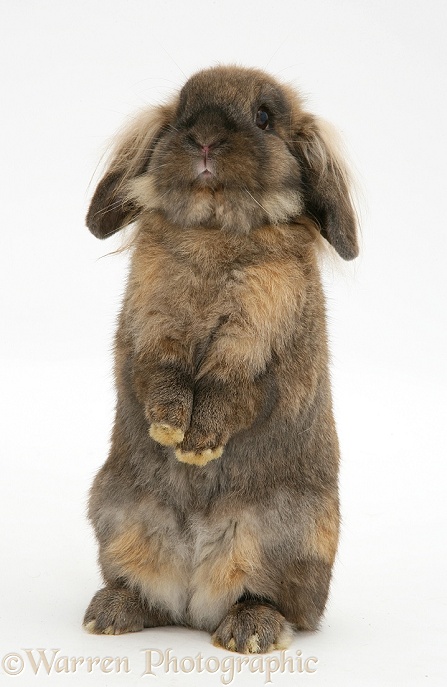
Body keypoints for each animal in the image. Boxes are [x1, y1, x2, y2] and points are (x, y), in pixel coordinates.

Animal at [82, 66, 358, 656]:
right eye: (183, 113)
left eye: (264, 117)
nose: (205, 139)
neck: (214, 227)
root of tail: (193, 602)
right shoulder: (153, 328)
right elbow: (159, 374)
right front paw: (168, 430)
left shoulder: (256, 346)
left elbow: (231, 391)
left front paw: (197, 447)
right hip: (117, 519)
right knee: (143, 589)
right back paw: (111, 613)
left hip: (286, 539)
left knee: (270, 598)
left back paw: (248, 632)